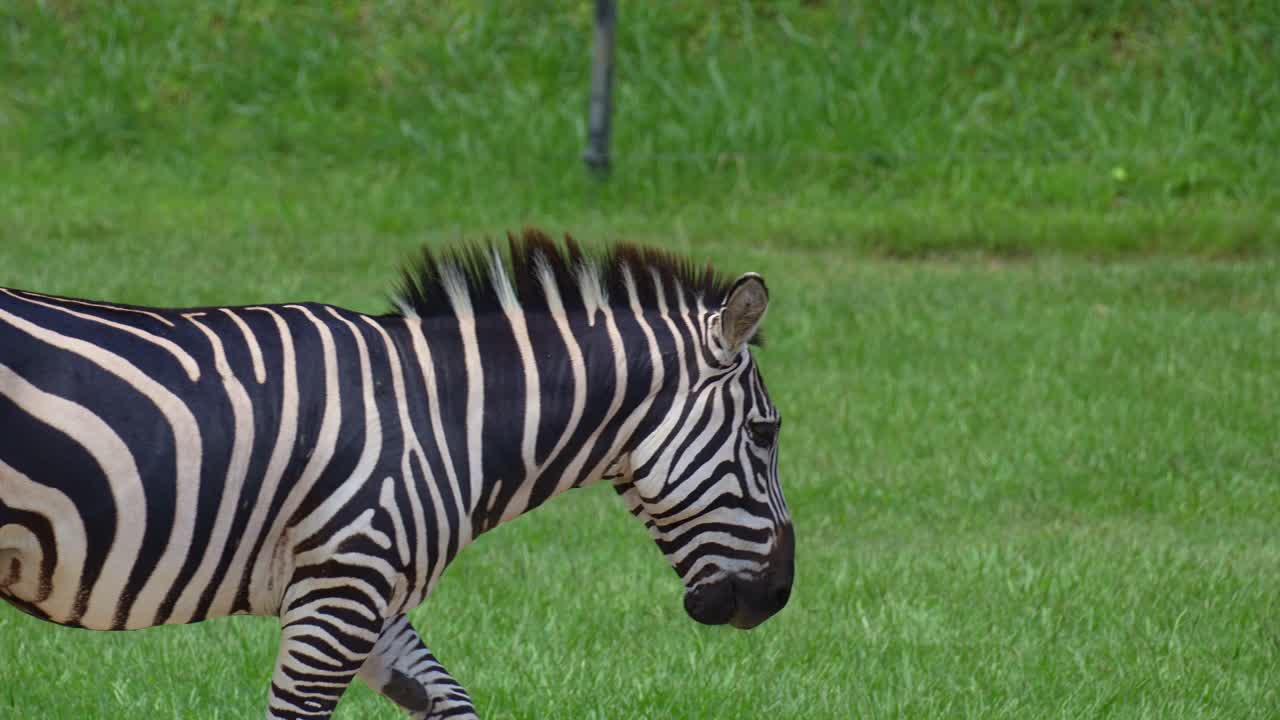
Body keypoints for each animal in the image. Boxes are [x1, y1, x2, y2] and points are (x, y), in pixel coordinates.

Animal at [0, 229, 794, 719]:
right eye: (764, 433)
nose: (779, 598)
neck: (444, 420)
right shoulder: (343, 591)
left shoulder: (368, 593)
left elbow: (453, 703)